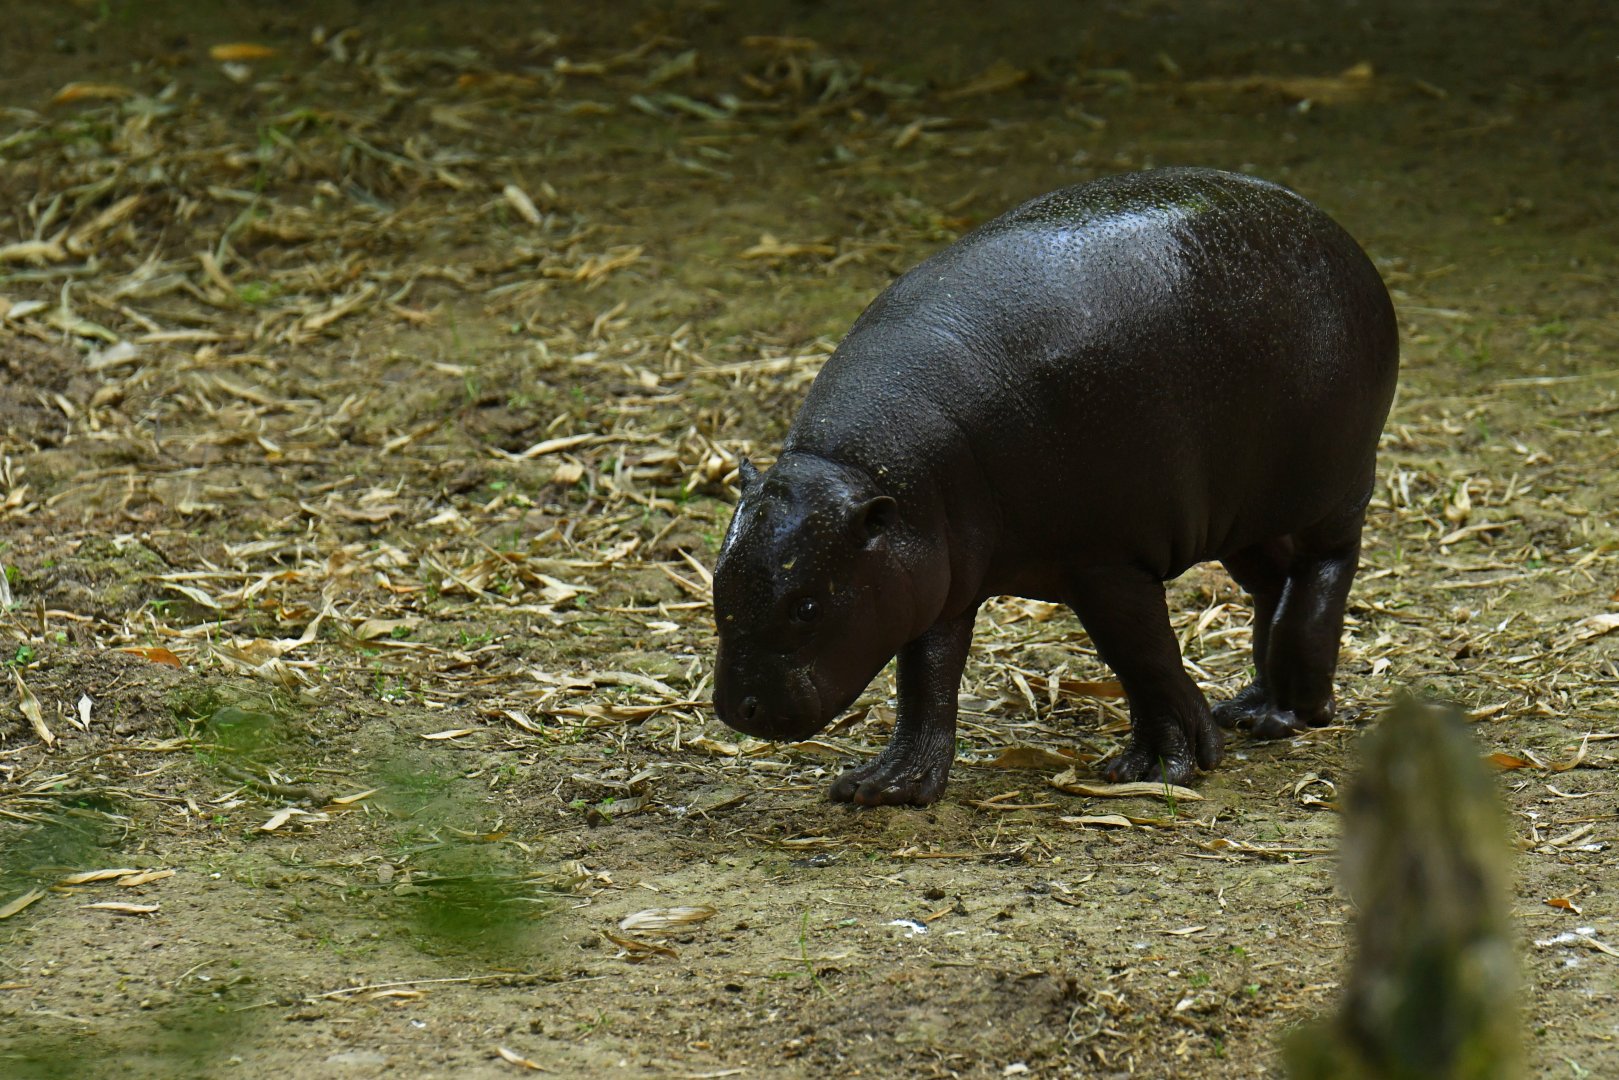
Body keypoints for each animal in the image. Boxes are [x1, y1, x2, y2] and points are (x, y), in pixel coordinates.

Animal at [711, 167, 1399, 806]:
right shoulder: (934, 579)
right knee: (1275, 583)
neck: (856, 472)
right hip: (1245, 515)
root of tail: (1339, 235)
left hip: (1330, 486)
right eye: (717, 587)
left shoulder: (1107, 562)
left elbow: (1144, 657)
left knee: (1326, 569)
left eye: (806, 607)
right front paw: (884, 785)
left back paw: (1291, 711)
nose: (736, 709)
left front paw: (1158, 768)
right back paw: (1253, 709)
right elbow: (926, 677)